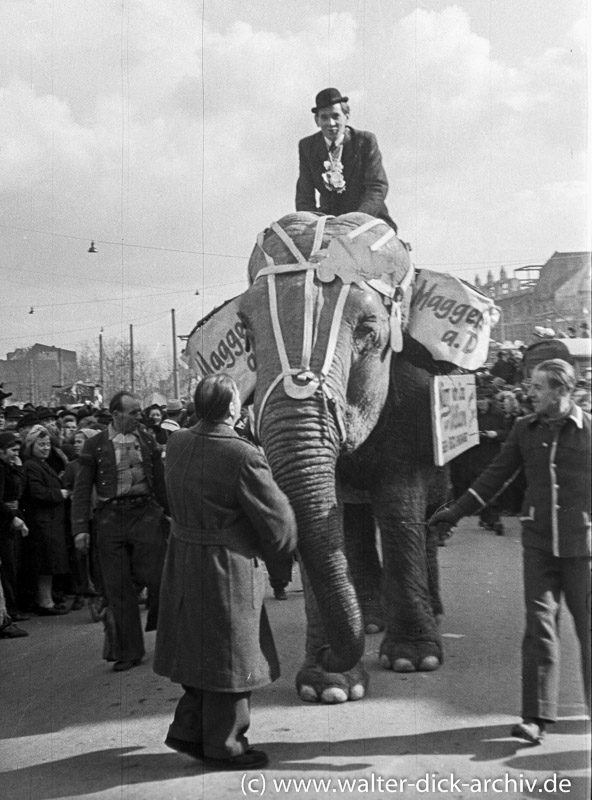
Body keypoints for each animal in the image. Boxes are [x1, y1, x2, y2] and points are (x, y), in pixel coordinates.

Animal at [238, 209, 450, 704]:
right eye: (246, 331)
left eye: (369, 332)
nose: (333, 654)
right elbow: (321, 513)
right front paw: (328, 688)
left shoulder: (412, 397)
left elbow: (398, 507)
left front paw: (413, 661)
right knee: (352, 522)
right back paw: (370, 620)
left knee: (426, 517)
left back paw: (430, 612)